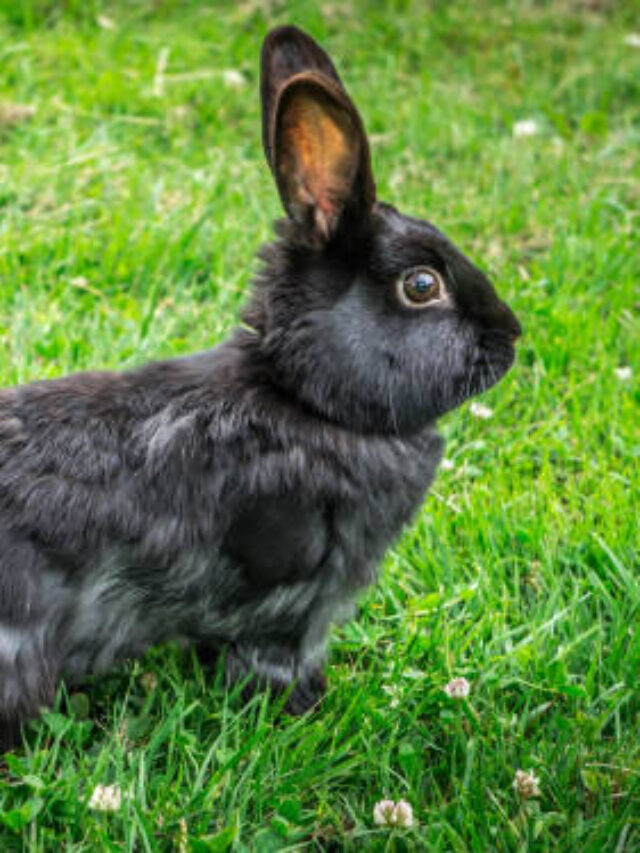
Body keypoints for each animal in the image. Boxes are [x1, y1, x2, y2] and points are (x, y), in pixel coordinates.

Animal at [0, 24, 521, 752]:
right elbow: (274, 660)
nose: (511, 335)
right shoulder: (290, 606)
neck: (306, 400)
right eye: (422, 285)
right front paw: (305, 708)